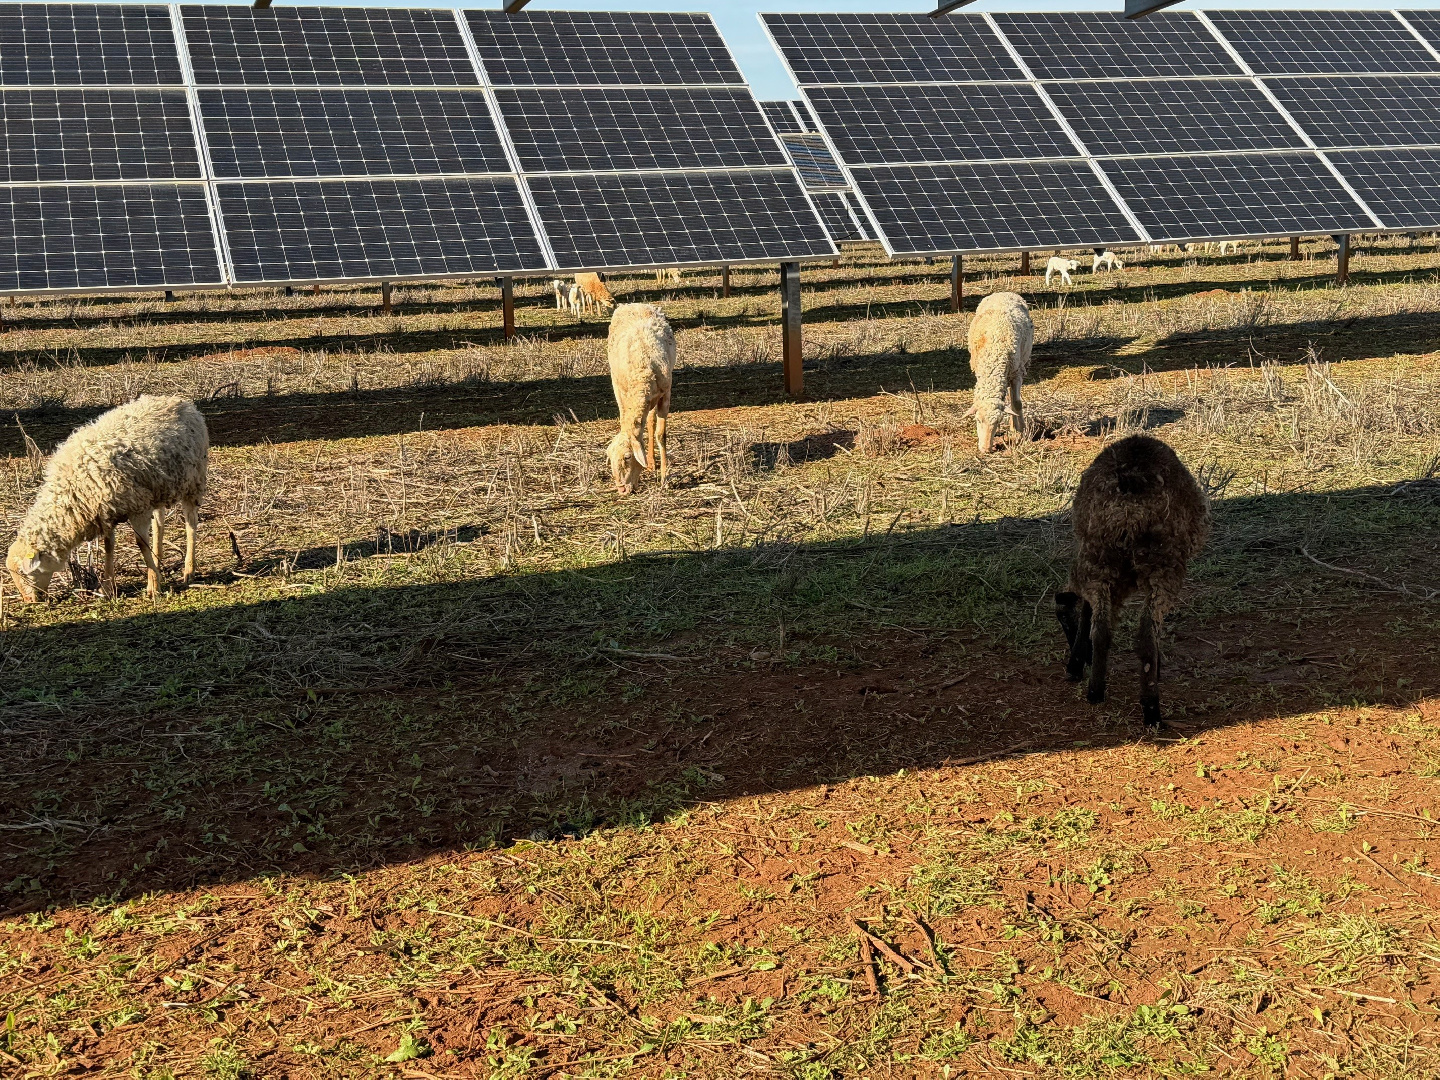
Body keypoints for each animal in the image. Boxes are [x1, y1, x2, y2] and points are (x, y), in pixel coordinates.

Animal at [6, 396, 208, 602]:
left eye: (25, 573)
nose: (31, 601)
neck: (73, 491)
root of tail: (178, 400)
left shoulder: (137, 507)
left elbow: (142, 545)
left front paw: (153, 586)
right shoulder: (106, 513)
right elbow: (109, 546)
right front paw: (108, 588)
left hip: (193, 481)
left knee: (191, 523)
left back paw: (189, 570)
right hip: (159, 485)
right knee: (159, 523)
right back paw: (158, 561)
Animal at [605, 304, 674, 496]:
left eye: (628, 457)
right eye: (610, 457)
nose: (622, 489)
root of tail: (633, 304)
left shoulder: (666, 394)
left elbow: (661, 435)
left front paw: (665, 478)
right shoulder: (621, 392)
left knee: (650, 422)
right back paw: (651, 462)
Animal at [963, 291, 1032, 454]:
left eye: (998, 421)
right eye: (977, 420)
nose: (986, 449)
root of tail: (1004, 292)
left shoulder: (1017, 373)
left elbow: (1017, 403)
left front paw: (1020, 430)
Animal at [1055, 434, 1210, 727]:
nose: (1076, 663)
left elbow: (1089, 616)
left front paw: (1078, 662)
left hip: (1100, 560)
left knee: (1103, 628)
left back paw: (1096, 692)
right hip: (1163, 565)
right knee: (1146, 630)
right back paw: (1151, 708)